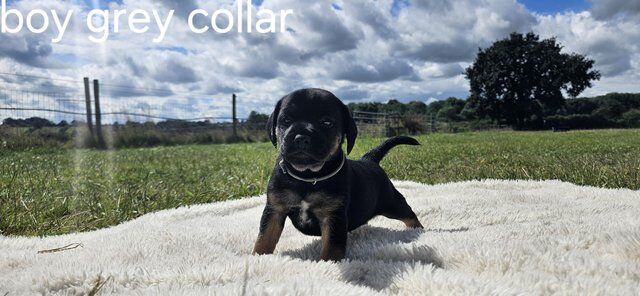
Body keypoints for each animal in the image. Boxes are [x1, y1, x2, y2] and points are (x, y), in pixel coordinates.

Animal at [252, 89, 422, 260]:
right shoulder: (275, 209)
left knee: (409, 214)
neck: (308, 177)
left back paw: (419, 230)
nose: (301, 137)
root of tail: (369, 160)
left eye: (327, 122)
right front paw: (257, 257)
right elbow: (265, 237)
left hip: (391, 201)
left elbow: (331, 247)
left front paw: (328, 263)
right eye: (286, 119)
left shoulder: (333, 215)